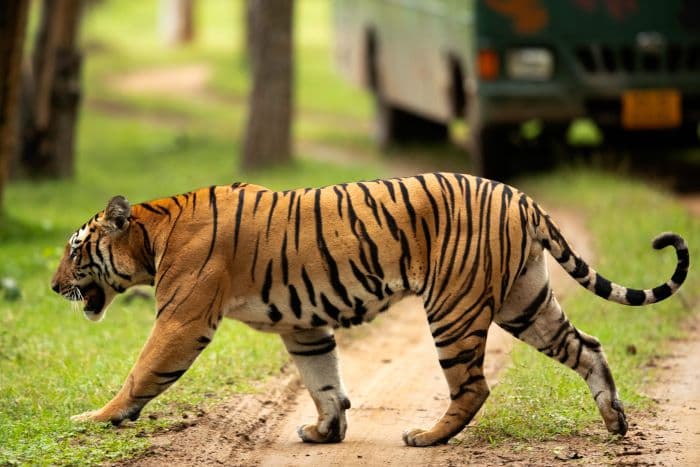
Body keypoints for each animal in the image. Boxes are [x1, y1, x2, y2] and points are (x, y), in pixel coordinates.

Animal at [50, 172, 688, 446]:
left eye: (75, 250)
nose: (55, 287)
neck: (153, 232)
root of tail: (521, 196)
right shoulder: (305, 327)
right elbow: (324, 381)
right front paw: (325, 430)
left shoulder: (182, 320)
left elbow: (141, 372)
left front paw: (96, 418)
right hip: (525, 302)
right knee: (589, 348)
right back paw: (615, 421)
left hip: (454, 308)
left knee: (473, 386)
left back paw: (428, 437)